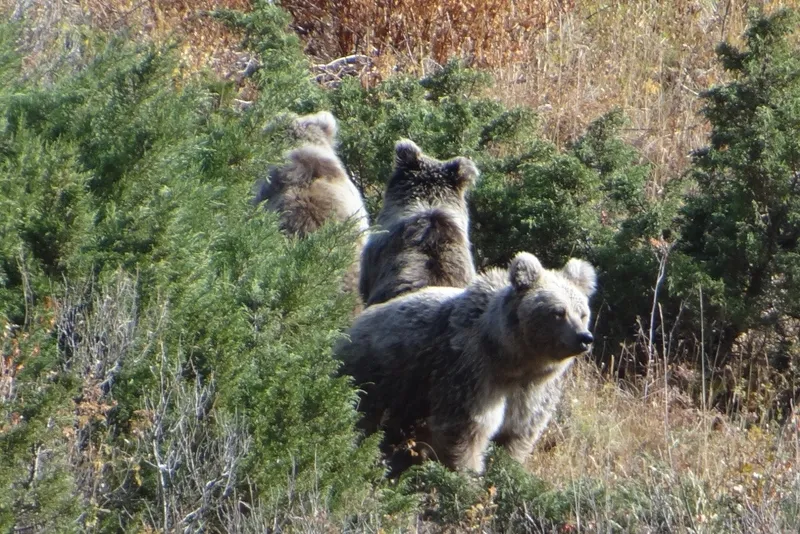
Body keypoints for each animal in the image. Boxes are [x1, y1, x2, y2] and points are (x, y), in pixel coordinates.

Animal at [335, 252, 596, 474]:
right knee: (363, 413)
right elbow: (466, 427)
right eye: (558, 312)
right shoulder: (472, 371)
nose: (584, 337)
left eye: (582, 312)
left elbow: (518, 432)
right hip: (376, 373)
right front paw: (468, 472)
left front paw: (508, 465)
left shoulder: (533, 391)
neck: (513, 359)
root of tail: (352, 327)